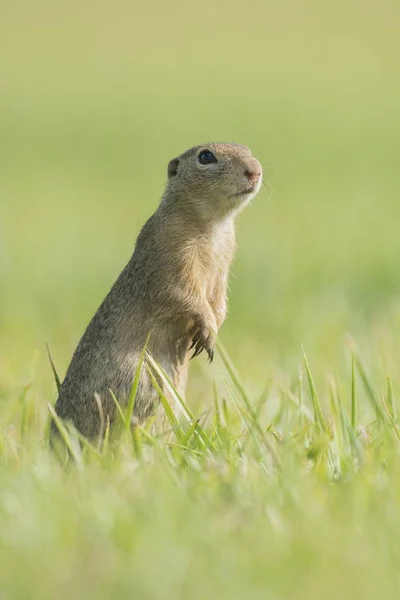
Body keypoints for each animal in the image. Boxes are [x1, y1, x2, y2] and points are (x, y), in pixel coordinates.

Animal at [50, 141, 262, 440]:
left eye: (248, 149)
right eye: (206, 156)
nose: (255, 171)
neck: (212, 225)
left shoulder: (223, 265)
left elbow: (219, 301)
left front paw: (213, 328)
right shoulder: (170, 257)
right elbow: (182, 295)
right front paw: (208, 329)